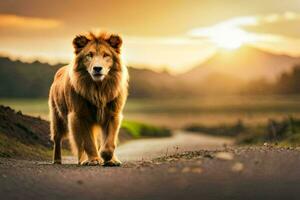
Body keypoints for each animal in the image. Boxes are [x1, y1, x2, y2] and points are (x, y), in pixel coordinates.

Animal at [48, 30, 128, 166]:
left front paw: (109, 158)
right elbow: (87, 142)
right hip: (57, 118)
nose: (97, 68)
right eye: (89, 55)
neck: (98, 89)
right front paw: (95, 160)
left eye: (106, 55)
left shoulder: (113, 114)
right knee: (58, 139)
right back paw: (59, 160)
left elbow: (110, 142)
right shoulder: (79, 116)